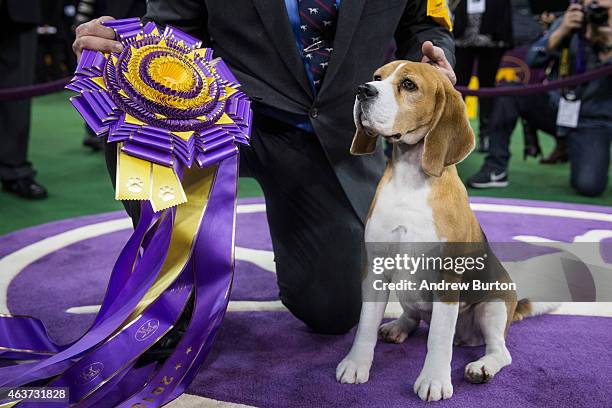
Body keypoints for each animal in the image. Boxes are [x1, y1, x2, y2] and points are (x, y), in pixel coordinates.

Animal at [338, 61, 556, 402]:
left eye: (409, 85)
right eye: (377, 77)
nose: (363, 91)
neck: (410, 179)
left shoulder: (447, 278)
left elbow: (438, 339)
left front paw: (434, 380)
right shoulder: (376, 269)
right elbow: (365, 326)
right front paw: (356, 364)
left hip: (493, 307)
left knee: (500, 351)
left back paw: (482, 366)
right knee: (414, 316)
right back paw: (398, 326)